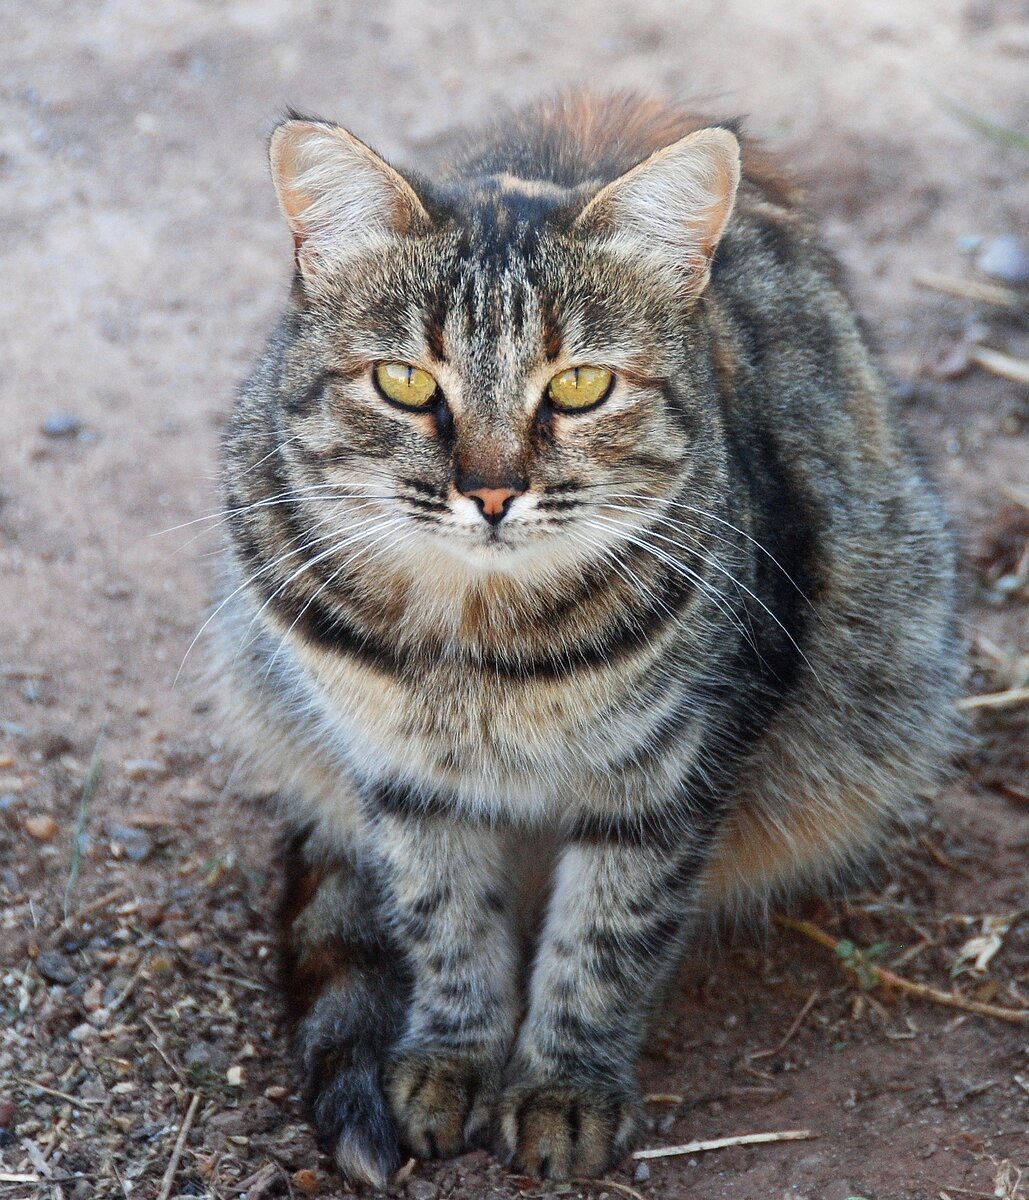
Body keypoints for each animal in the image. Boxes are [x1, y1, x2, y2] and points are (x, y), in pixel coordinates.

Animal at [212, 88, 959, 1185]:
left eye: (577, 388)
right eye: (403, 382)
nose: (488, 493)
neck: (479, 646)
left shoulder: (675, 769)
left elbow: (607, 934)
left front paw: (563, 1086)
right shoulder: (401, 773)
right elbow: (445, 919)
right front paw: (452, 1057)